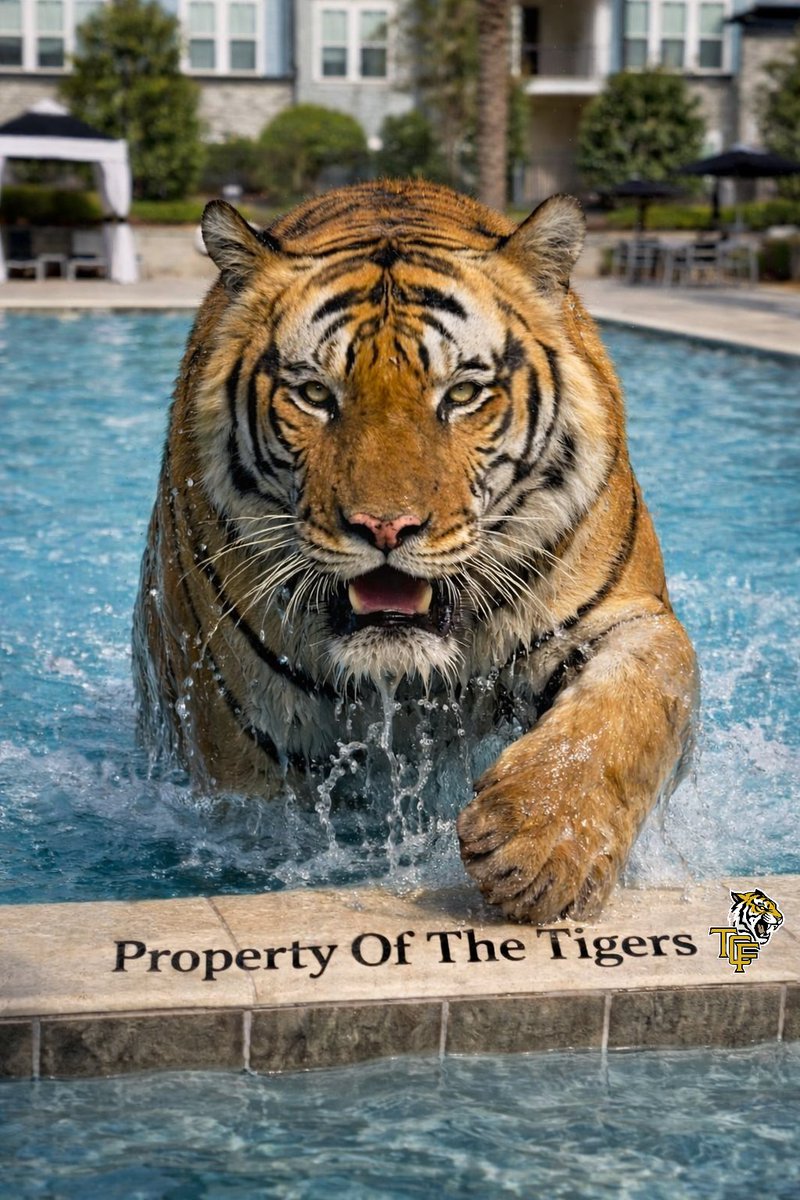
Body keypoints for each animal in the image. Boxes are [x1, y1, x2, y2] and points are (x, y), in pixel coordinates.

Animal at [132, 178, 698, 923]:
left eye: (462, 394)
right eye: (314, 394)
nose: (385, 527)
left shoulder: (624, 614)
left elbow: (625, 709)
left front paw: (544, 845)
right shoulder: (236, 731)